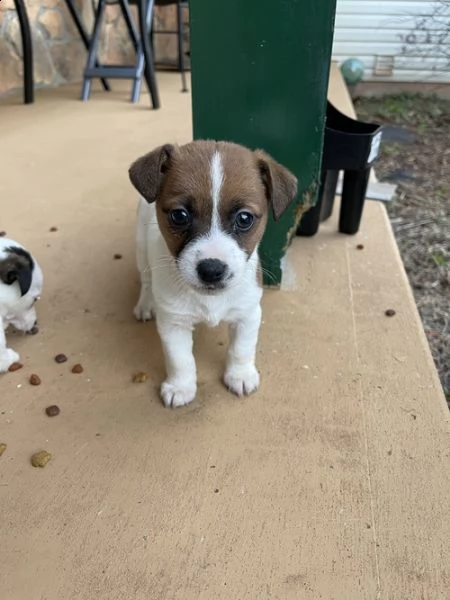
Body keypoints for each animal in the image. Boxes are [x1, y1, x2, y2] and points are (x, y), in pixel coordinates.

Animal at [128, 141, 298, 408]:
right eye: (179, 215)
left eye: (244, 218)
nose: (211, 270)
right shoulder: (173, 323)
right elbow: (180, 359)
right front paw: (181, 386)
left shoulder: (248, 314)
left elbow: (241, 349)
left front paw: (240, 375)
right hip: (141, 249)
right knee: (146, 281)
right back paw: (145, 304)